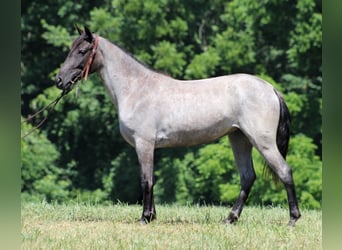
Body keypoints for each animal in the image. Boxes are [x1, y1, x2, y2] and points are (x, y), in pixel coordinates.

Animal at [54, 25, 300, 227]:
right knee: (247, 177)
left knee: (284, 171)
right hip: (239, 139)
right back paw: (230, 219)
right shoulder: (150, 147)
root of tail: (270, 89)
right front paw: (152, 216)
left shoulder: (144, 144)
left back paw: (292, 219)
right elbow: (151, 180)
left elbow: (146, 180)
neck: (136, 89)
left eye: (82, 51)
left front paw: (145, 218)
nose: (59, 80)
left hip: (262, 141)